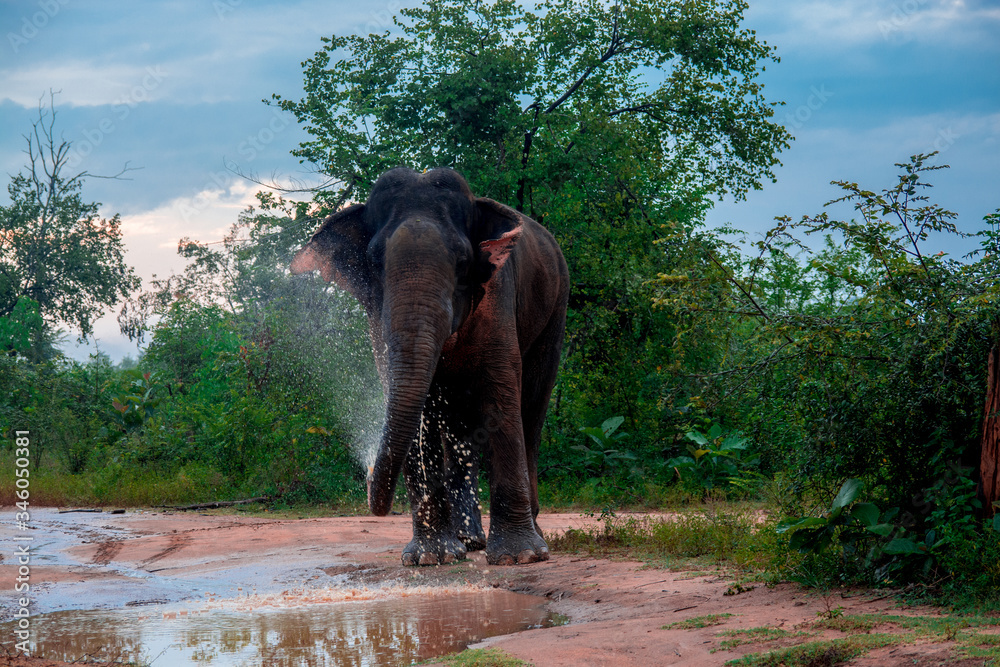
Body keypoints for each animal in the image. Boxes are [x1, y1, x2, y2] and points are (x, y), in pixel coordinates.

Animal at [290, 167, 569, 566]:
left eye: (464, 263)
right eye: (374, 263)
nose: (369, 479)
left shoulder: (497, 295)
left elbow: (500, 393)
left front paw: (519, 558)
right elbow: (417, 412)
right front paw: (429, 558)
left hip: (556, 306)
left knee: (532, 408)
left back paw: (531, 539)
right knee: (457, 426)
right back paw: (467, 542)